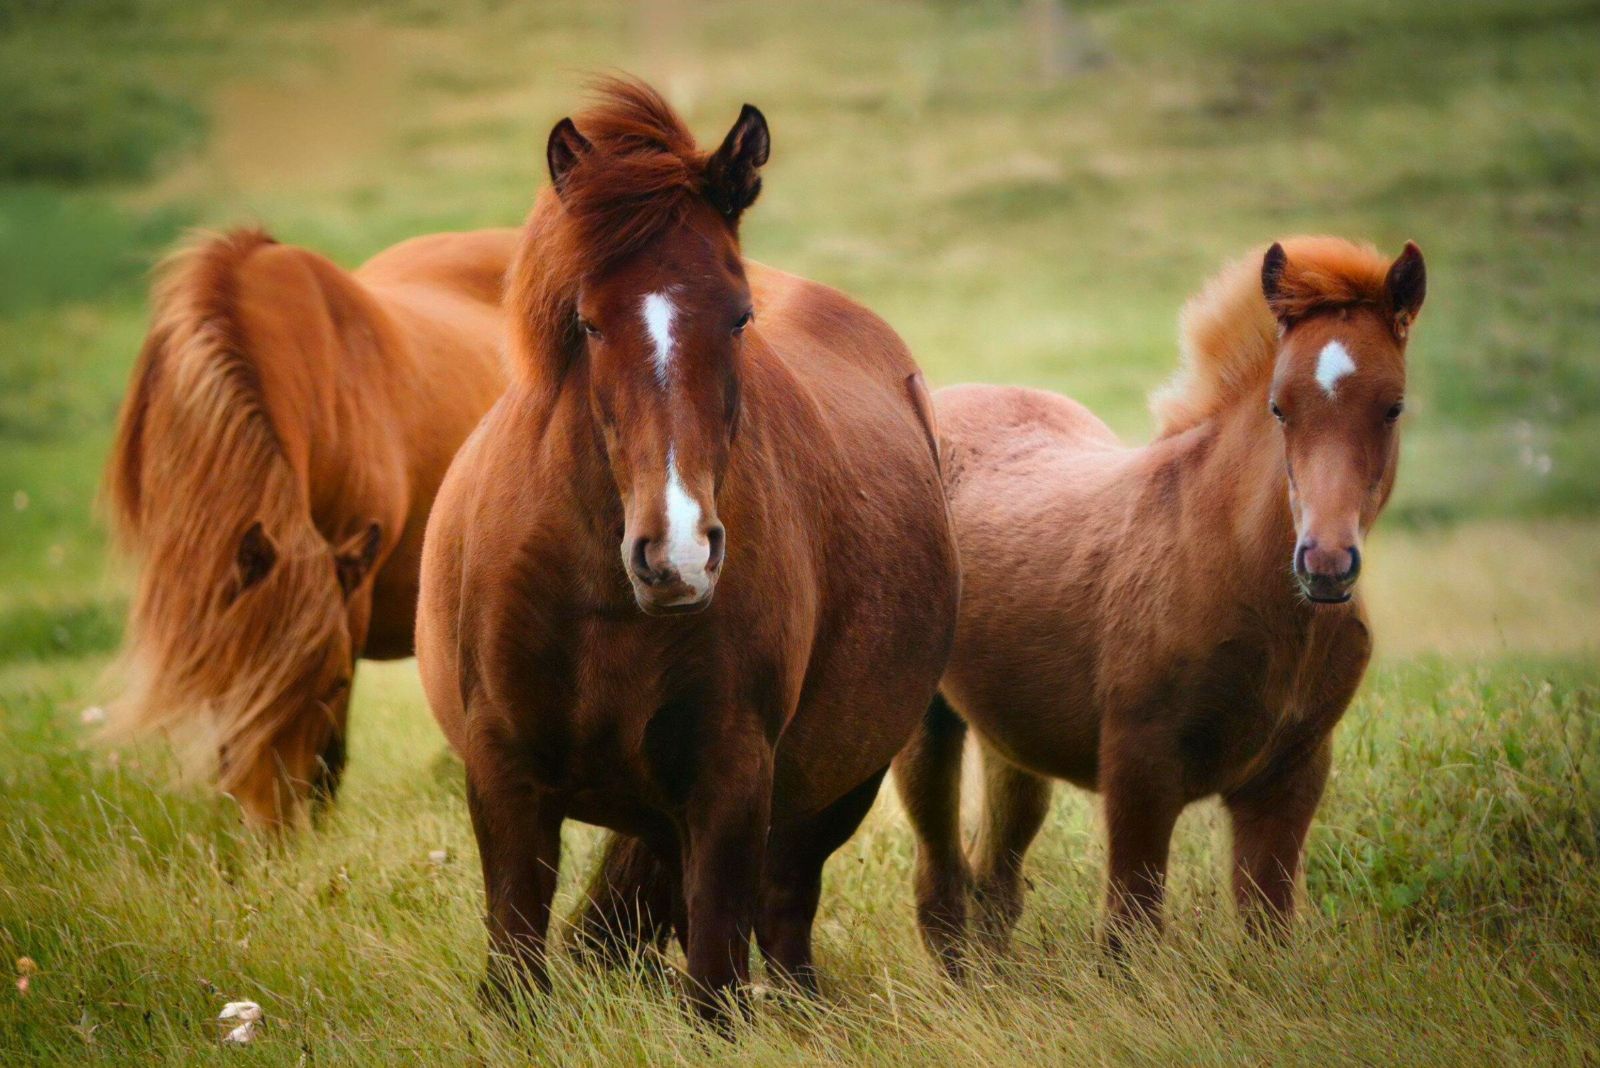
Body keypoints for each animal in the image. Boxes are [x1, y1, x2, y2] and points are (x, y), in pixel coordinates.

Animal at [416, 79, 960, 1023]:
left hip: (836, 785)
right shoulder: (503, 774)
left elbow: (714, 981)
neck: (600, 597)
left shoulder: (732, 779)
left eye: (739, 317)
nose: (676, 555)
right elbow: (516, 957)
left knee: (784, 914)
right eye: (589, 323)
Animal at [896, 238, 1433, 972]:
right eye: (1279, 408)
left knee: (994, 877)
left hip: (1012, 738)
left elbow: (1268, 930)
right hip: (925, 724)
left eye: (1394, 406)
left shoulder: (1290, 778)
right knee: (940, 882)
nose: (1325, 565)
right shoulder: (1139, 769)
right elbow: (1130, 934)